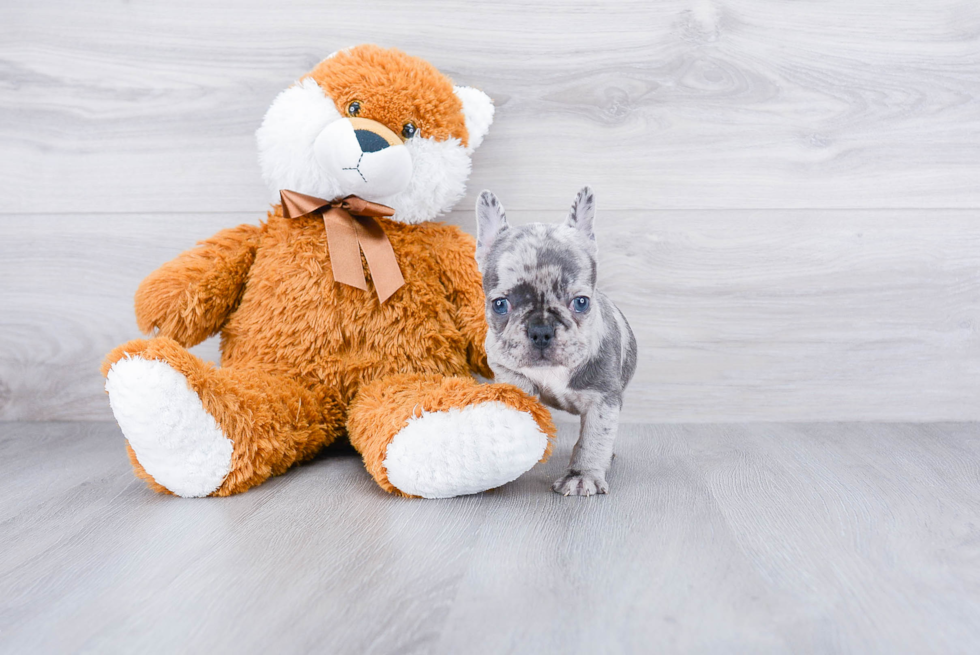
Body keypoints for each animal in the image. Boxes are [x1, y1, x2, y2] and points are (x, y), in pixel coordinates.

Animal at [472, 187, 636, 494]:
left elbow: (594, 438)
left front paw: (582, 475)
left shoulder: (603, 400)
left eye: (581, 302)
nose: (541, 330)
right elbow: (519, 384)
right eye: (500, 305)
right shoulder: (504, 364)